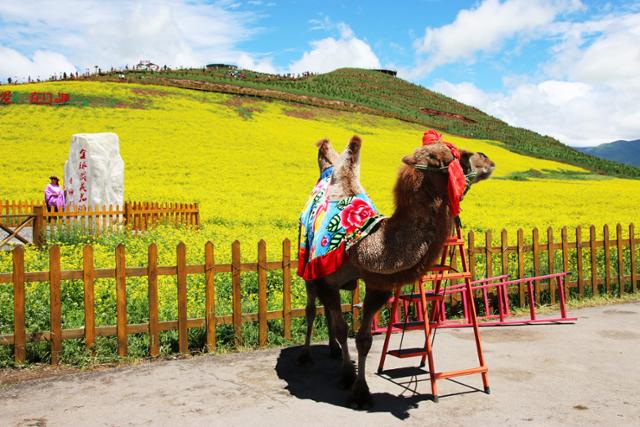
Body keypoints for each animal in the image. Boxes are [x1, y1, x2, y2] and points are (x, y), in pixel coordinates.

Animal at [298, 135, 498, 410]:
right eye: (454, 155)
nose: (487, 159)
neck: (362, 245)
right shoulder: (326, 279)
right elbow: (342, 329)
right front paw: (348, 378)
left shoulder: (377, 285)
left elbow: (363, 339)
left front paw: (361, 391)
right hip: (308, 268)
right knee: (310, 309)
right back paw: (306, 356)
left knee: (326, 311)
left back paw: (334, 351)